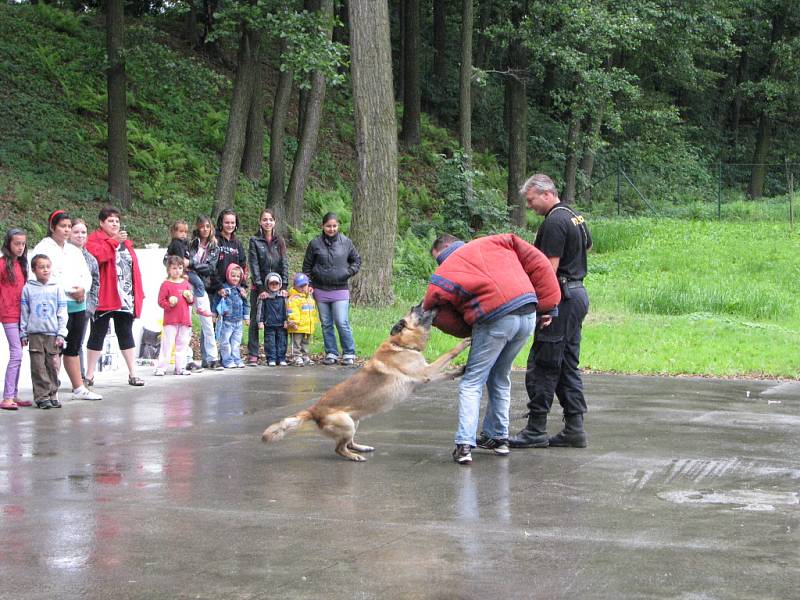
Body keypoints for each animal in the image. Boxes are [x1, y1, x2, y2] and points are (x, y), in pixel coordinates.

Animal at [260, 308, 472, 462]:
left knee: (348, 443)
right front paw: (463, 343)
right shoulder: (426, 373)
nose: (433, 305)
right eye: (417, 309)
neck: (401, 344)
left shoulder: (424, 379)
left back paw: (361, 448)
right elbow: (449, 354)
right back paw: (354, 457)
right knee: (339, 448)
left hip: (355, 421)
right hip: (347, 423)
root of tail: (313, 410)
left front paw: (460, 370)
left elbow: (446, 373)